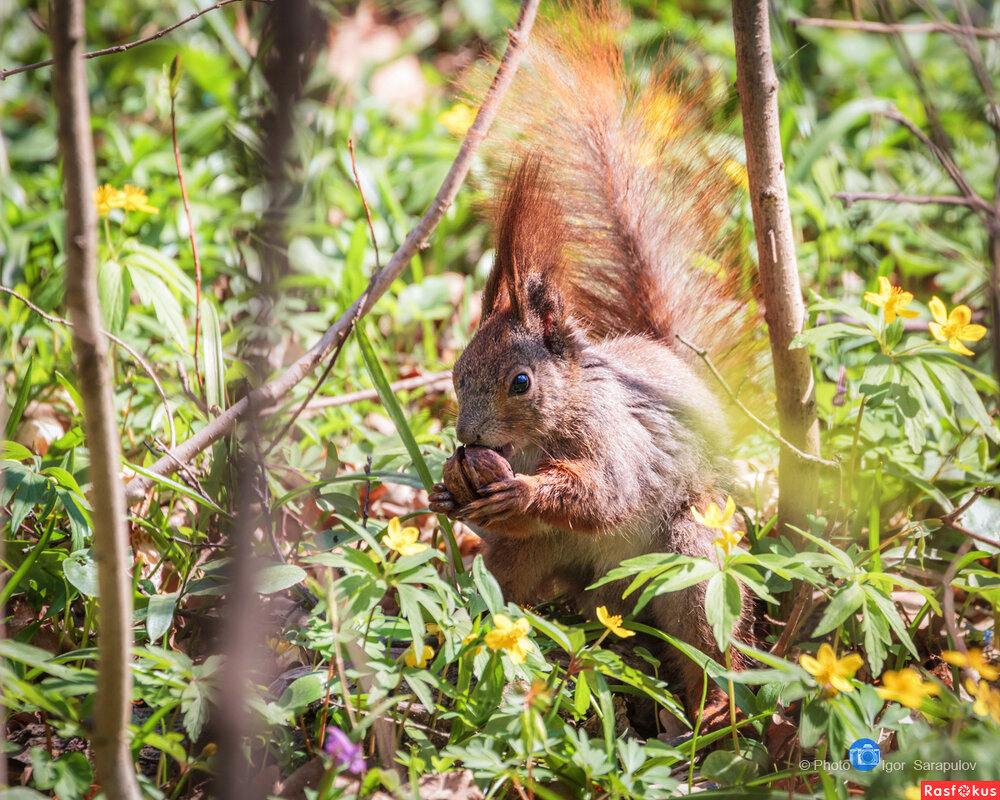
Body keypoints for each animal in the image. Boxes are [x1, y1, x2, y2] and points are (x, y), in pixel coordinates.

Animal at [426, 1, 760, 724]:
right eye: (456, 375)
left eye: (521, 382)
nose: (467, 438)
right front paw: (447, 486)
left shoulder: (619, 442)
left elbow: (606, 493)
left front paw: (525, 490)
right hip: (532, 555)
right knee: (509, 584)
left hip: (695, 558)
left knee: (711, 640)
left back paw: (714, 709)